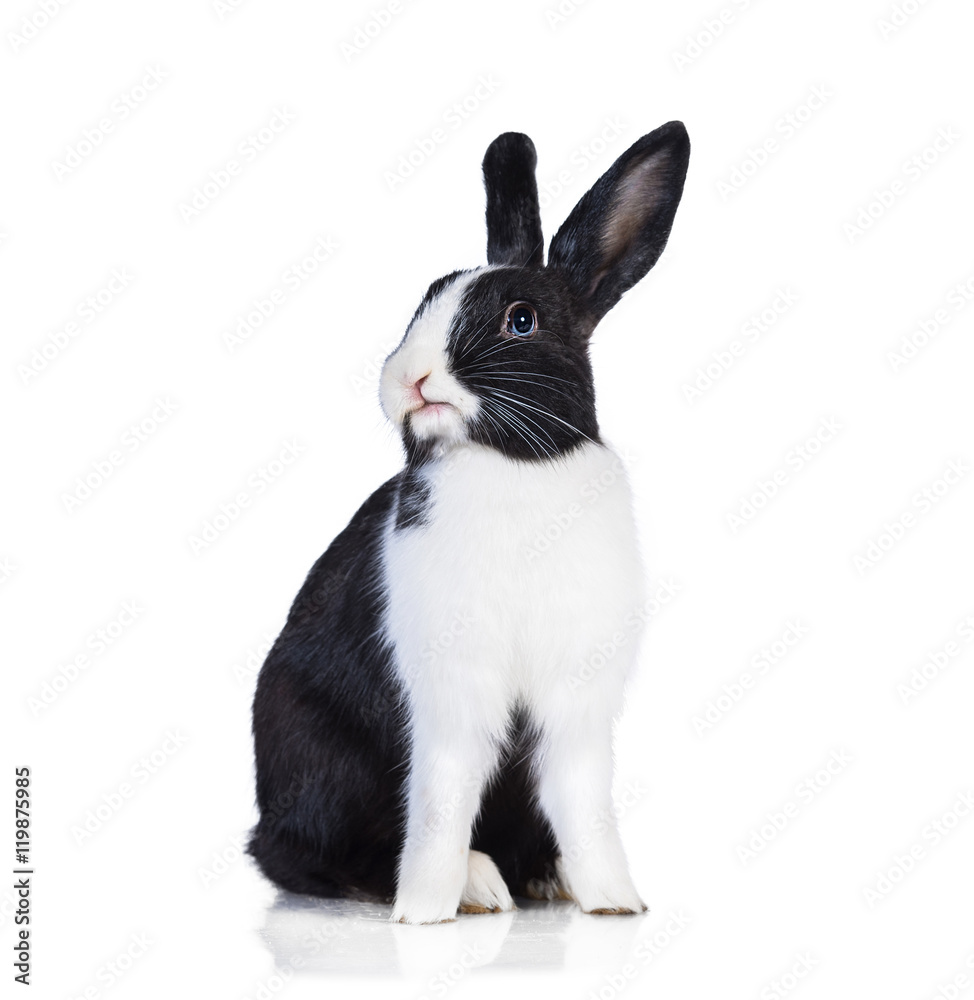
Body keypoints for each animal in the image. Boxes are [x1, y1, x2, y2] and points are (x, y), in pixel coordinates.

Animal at [248, 121, 690, 924]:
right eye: (425, 298)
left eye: (522, 320)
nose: (409, 379)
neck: (512, 466)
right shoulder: (451, 695)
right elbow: (443, 799)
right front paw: (424, 909)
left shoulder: (577, 704)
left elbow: (583, 799)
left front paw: (616, 901)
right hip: (318, 764)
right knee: (304, 856)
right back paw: (477, 885)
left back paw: (544, 878)